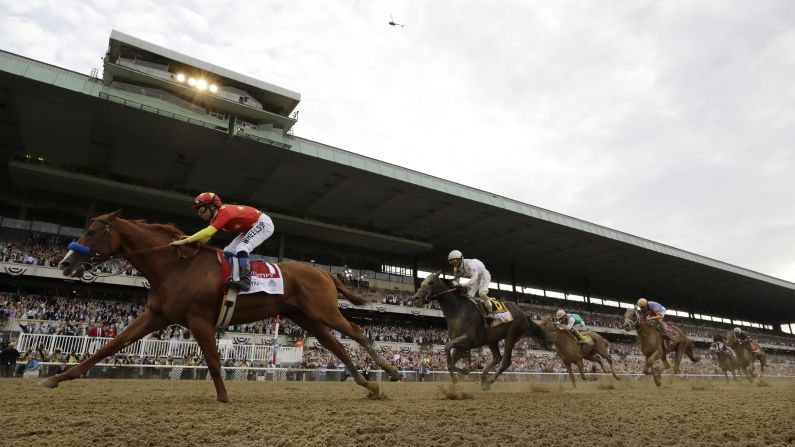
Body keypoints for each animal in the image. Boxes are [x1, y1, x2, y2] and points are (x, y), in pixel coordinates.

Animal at [39, 212, 402, 400]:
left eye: (91, 231)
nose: (66, 263)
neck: (176, 267)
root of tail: (322, 271)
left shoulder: (199, 320)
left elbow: (213, 360)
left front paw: (224, 397)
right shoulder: (156, 316)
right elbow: (110, 345)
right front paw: (59, 377)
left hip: (324, 311)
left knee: (358, 333)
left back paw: (392, 372)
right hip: (307, 318)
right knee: (336, 346)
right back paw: (368, 384)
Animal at [414, 272, 552, 390]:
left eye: (431, 282)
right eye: (422, 283)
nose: (415, 298)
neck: (458, 311)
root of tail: (524, 314)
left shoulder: (468, 340)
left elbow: (447, 347)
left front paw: (461, 374)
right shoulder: (460, 344)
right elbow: (450, 362)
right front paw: (466, 371)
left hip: (512, 335)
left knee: (506, 361)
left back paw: (488, 381)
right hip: (492, 340)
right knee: (497, 358)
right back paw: (483, 377)